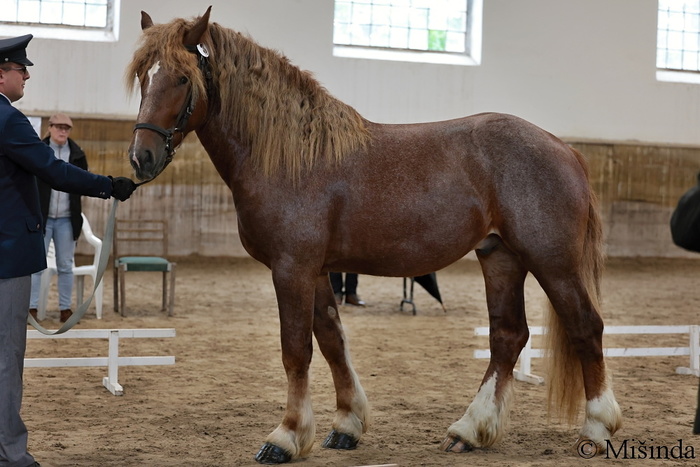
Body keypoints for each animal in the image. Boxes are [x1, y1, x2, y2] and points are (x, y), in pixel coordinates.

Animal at [125, 7, 622, 464]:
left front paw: (286, 436)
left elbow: (296, 350)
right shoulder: (317, 271)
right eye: (144, 77)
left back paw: (597, 430)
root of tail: (565, 149)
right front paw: (347, 425)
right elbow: (332, 340)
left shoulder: (292, 269)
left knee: (586, 327)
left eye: (183, 78)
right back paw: (469, 430)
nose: (141, 157)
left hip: (552, 262)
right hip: (500, 256)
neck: (292, 157)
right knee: (507, 336)